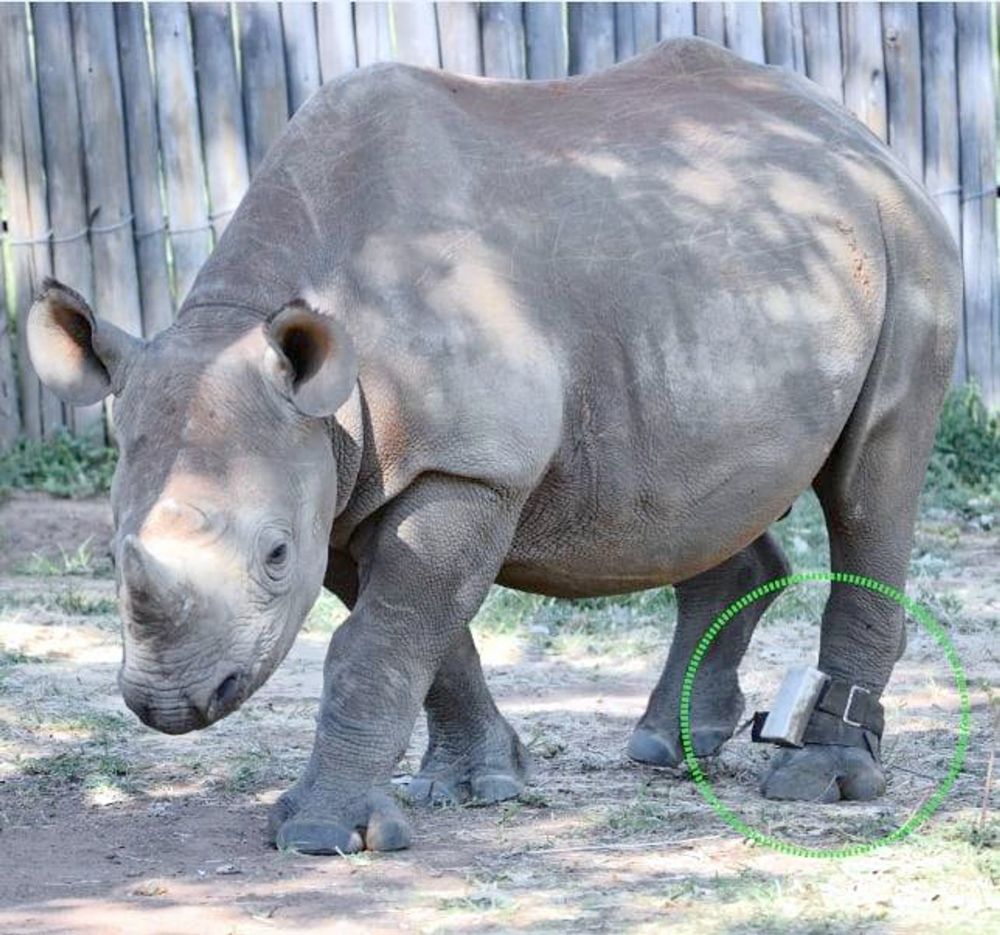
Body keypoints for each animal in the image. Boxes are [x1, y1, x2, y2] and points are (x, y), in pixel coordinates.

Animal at [27, 39, 959, 855]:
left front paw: (320, 833)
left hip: (905, 242)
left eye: (274, 555)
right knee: (705, 494)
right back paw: (668, 747)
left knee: (872, 480)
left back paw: (817, 780)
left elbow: (376, 643)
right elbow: (428, 640)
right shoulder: (351, 475)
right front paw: (476, 784)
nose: (169, 705)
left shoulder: (464, 465)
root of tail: (857, 132)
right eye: (110, 551)